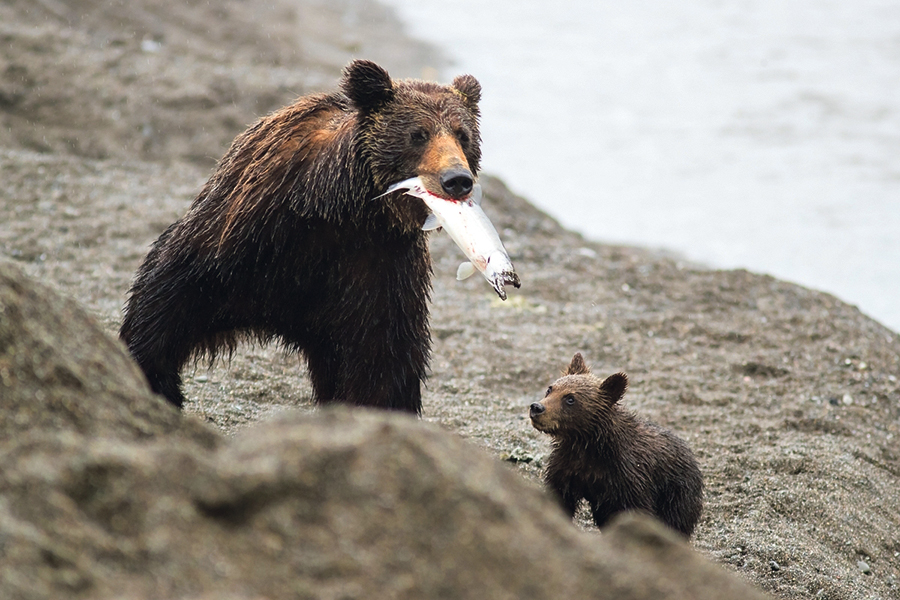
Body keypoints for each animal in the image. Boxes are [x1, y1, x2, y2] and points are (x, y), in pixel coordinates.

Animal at [119, 62, 510, 418]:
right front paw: (153, 379)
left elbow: (383, 363)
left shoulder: (375, 271)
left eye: (463, 134)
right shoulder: (242, 242)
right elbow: (165, 305)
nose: (456, 179)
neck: (339, 207)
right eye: (418, 133)